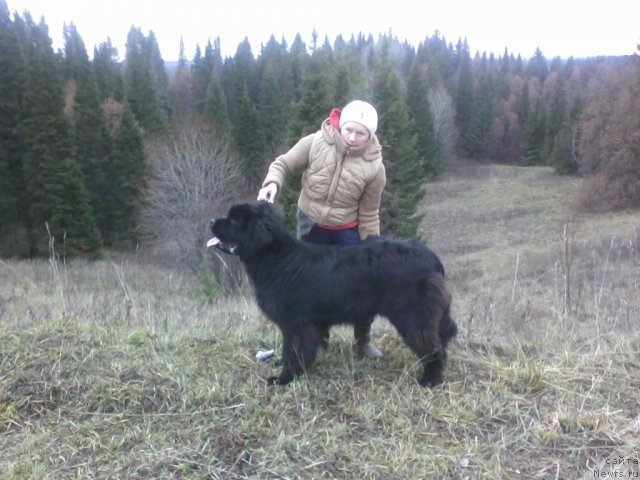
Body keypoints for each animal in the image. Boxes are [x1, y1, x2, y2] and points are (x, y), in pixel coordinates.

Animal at [209, 202, 456, 386]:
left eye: (233, 220)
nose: (211, 221)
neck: (277, 258)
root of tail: (431, 257)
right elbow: (289, 349)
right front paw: (284, 367)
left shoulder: (296, 324)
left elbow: (293, 350)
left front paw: (284, 379)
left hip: (412, 315)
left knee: (431, 345)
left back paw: (430, 379)